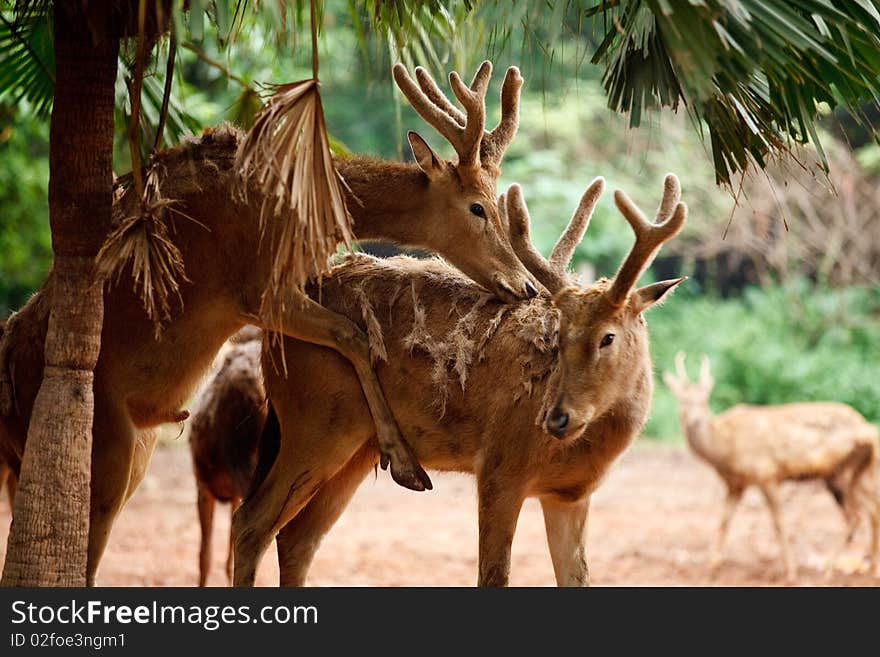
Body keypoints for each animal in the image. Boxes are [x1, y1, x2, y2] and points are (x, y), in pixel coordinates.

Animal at [0, 62, 536, 584]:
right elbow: (354, 336)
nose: (527, 285)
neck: (304, 213)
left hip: (130, 447)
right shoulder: (257, 292)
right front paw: (404, 463)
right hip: (102, 440)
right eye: (477, 207)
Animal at [232, 173, 688, 584]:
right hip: (314, 424)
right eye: (558, 336)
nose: (556, 418)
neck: (581, 450)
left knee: (297, 539)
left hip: (356, 449)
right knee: (250, 522)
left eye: (608, 336)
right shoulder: (499, 468)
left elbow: (577, 579)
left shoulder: (570, 495)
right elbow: (492, 575)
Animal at [664, 354, 876, 580]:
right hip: (855, 473)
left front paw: (790, 572)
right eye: (682, 401)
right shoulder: (736, 484)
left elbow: (779, 523)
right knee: (872, 509)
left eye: (704, 401)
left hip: (840, 472)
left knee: (857, 516)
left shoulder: (766, 474)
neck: (726, 451)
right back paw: (870, 567)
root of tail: (867, 427)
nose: (694, 422)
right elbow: (724, 521)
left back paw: (829, 569)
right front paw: (712, 566)